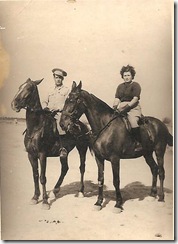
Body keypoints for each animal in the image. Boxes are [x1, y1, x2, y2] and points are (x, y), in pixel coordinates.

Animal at [11, 78, 91, 210]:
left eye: (29, 88)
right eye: (19, 87)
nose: (14, 104)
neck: (35, 128)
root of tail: (83, 124)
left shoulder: (42, 155)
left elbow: (43, 177)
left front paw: (44, 201)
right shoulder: (31, 155)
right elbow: (35, 175)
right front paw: (35, 197)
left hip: (82, 148)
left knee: (82, 167)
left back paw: (80, 192)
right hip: (64, 153)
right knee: (65, 168)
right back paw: (55, 190)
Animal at [59, 81, 172, 211]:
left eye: (73, 100)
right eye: (66, 100)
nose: (62, 124)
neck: (105, 127)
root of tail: (161, 124)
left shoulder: (115, 158)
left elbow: (116, 180)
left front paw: (118, 204)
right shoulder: (99, 158)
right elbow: (100, 179)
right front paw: (98, 202)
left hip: (159, 151)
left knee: (161, 172)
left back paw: (161, 198)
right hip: (147, 153)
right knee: (154, 169)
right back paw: (152, 195)